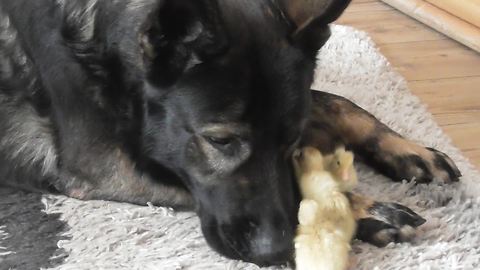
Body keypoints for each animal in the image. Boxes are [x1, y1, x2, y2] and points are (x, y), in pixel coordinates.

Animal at [0, 0, 462, 266]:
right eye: (219, 141)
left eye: (293, 141)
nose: (275, 253)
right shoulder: (105, 164)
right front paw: (362, 209)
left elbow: (335, 101)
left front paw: (408, 150)